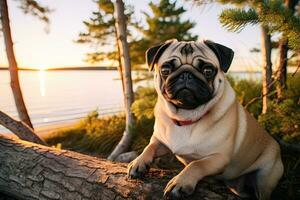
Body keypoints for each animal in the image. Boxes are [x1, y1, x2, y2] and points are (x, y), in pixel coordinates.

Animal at [127, 39, 284, 200]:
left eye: (208, 71)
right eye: (165, 70)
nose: (186, 75)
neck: (185, 117)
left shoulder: (219, 158)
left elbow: (197, 164)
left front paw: (181, 182)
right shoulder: (160, 142)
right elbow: (149, 147)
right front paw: (138, 162)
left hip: (264, 179)